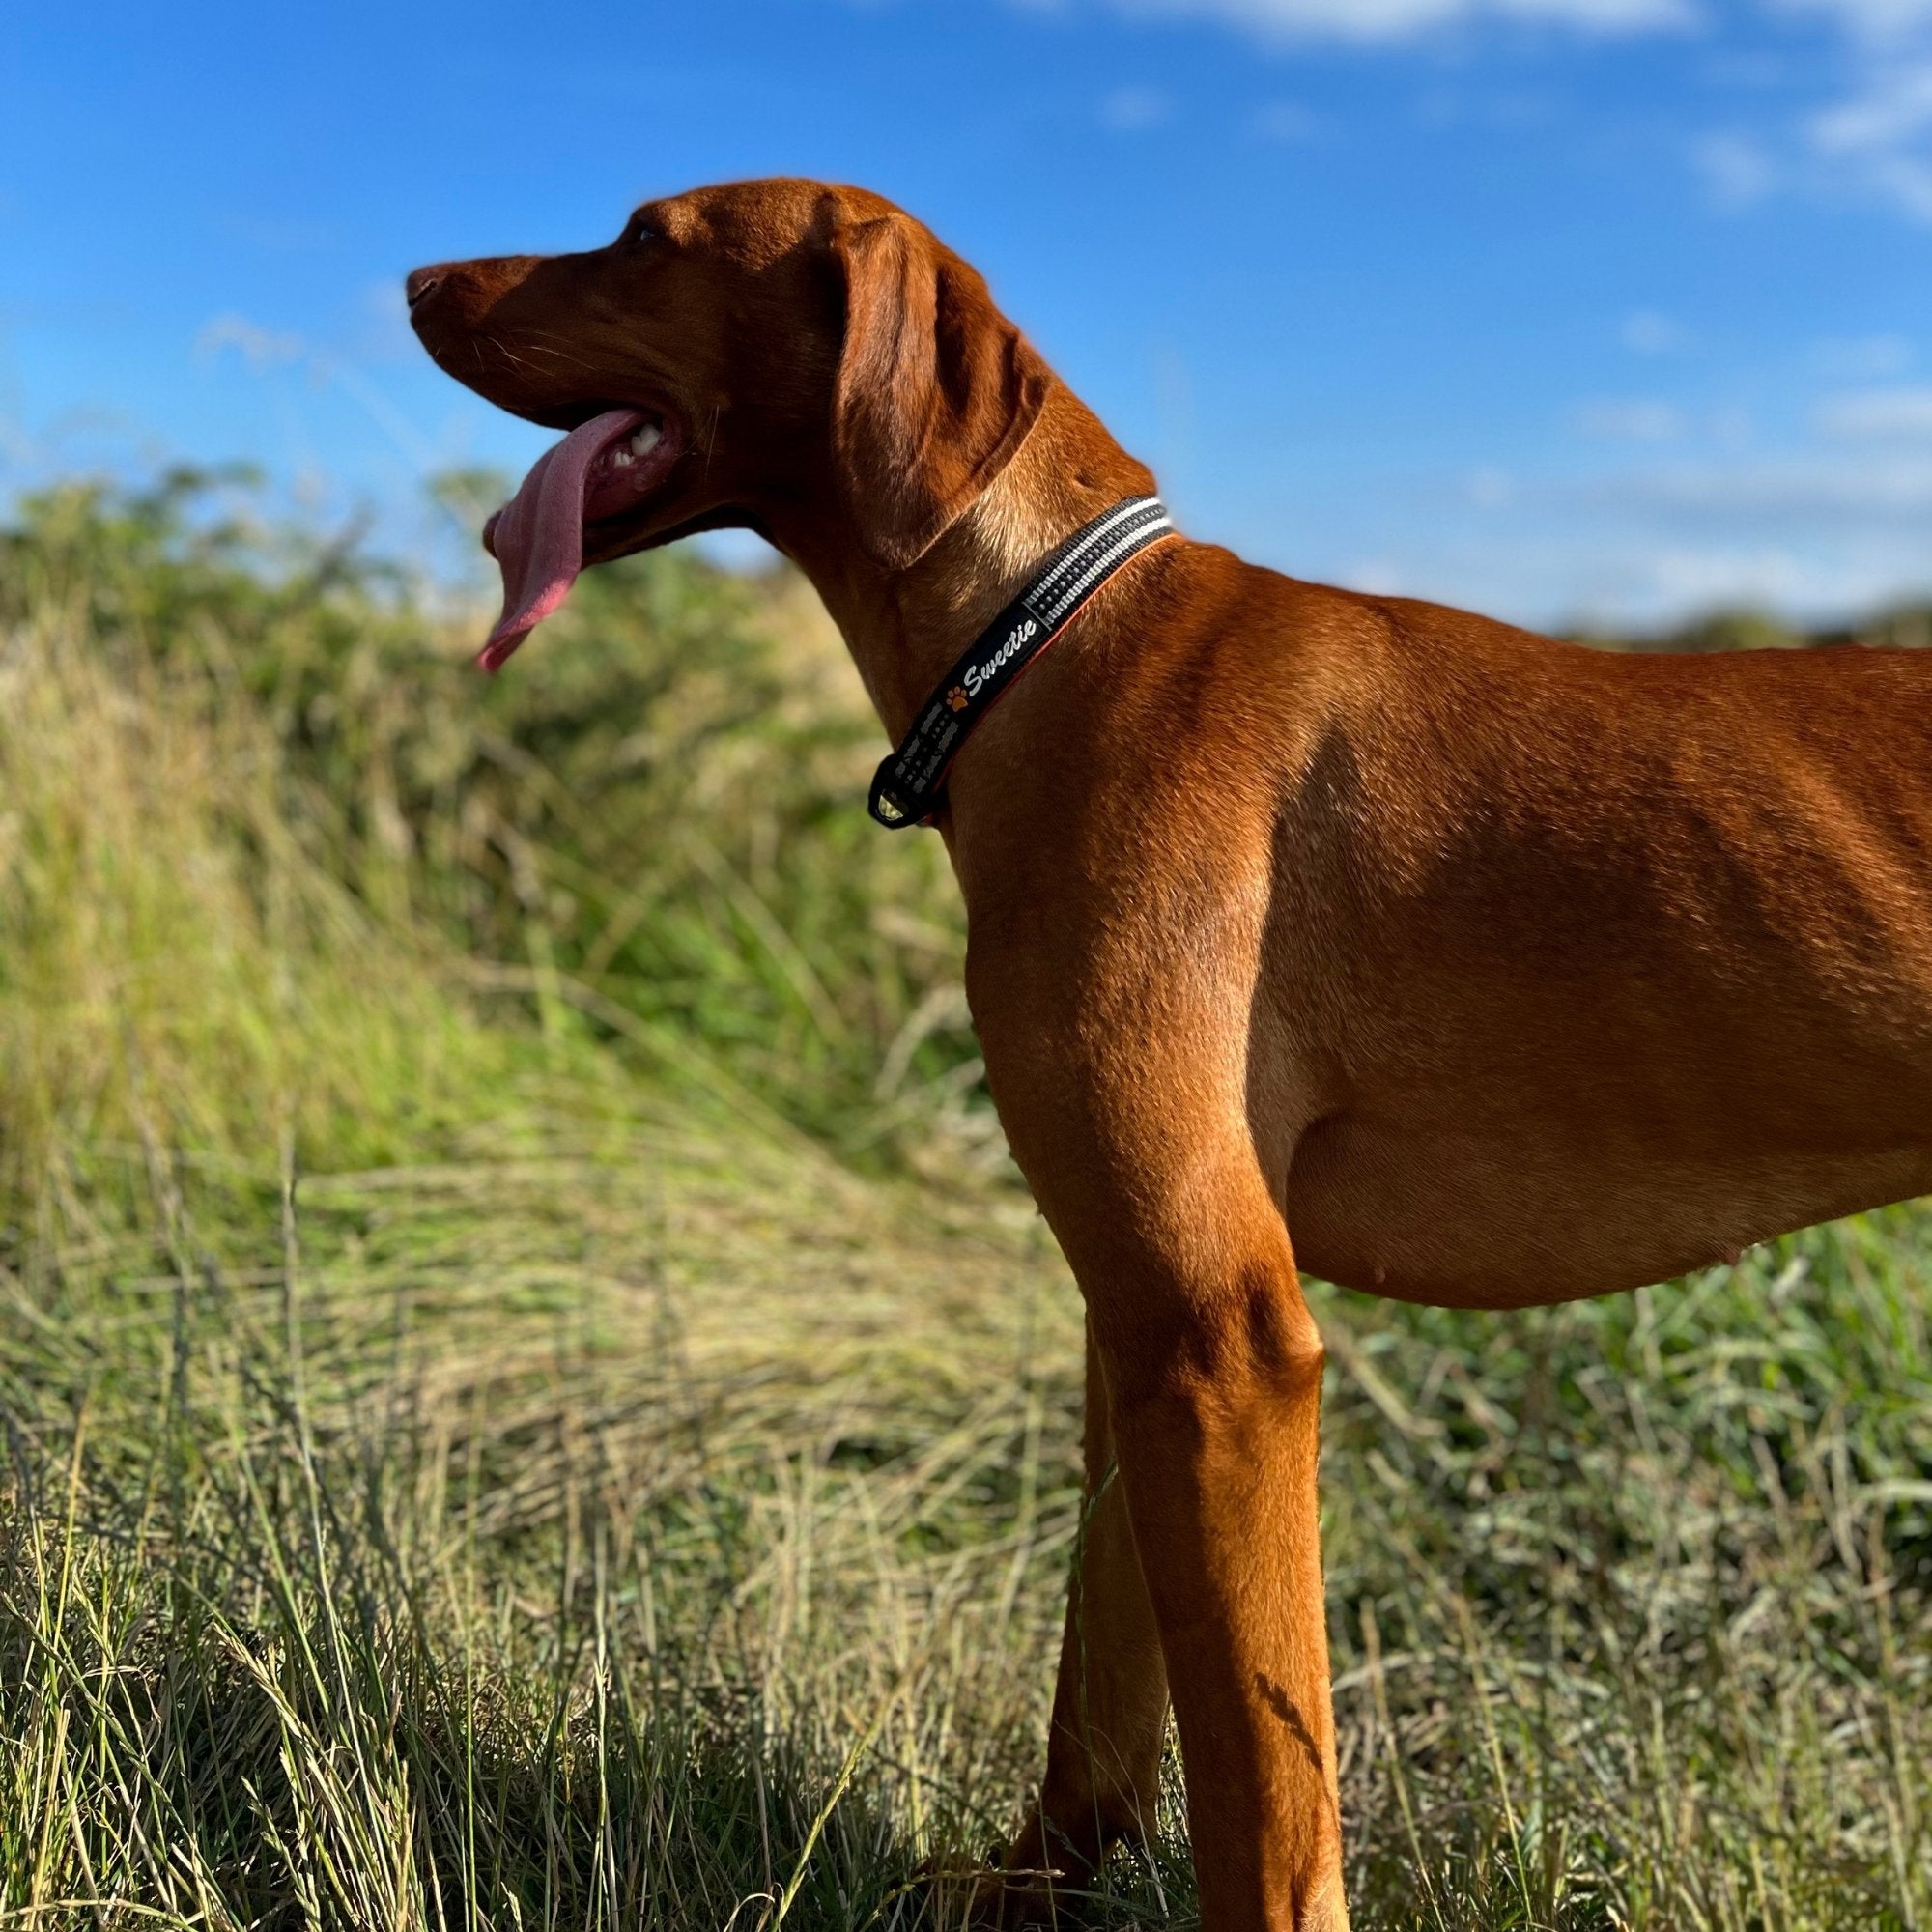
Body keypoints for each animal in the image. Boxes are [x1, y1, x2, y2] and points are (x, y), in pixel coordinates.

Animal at [404, 182, 1932, 1932]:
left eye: (649, 238)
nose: (416, 281)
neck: (1040, 636)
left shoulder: (1223, 1332)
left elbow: (1265, 1786)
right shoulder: (1135, 1319)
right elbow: (1107, 1656)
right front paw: (1040, 1877)